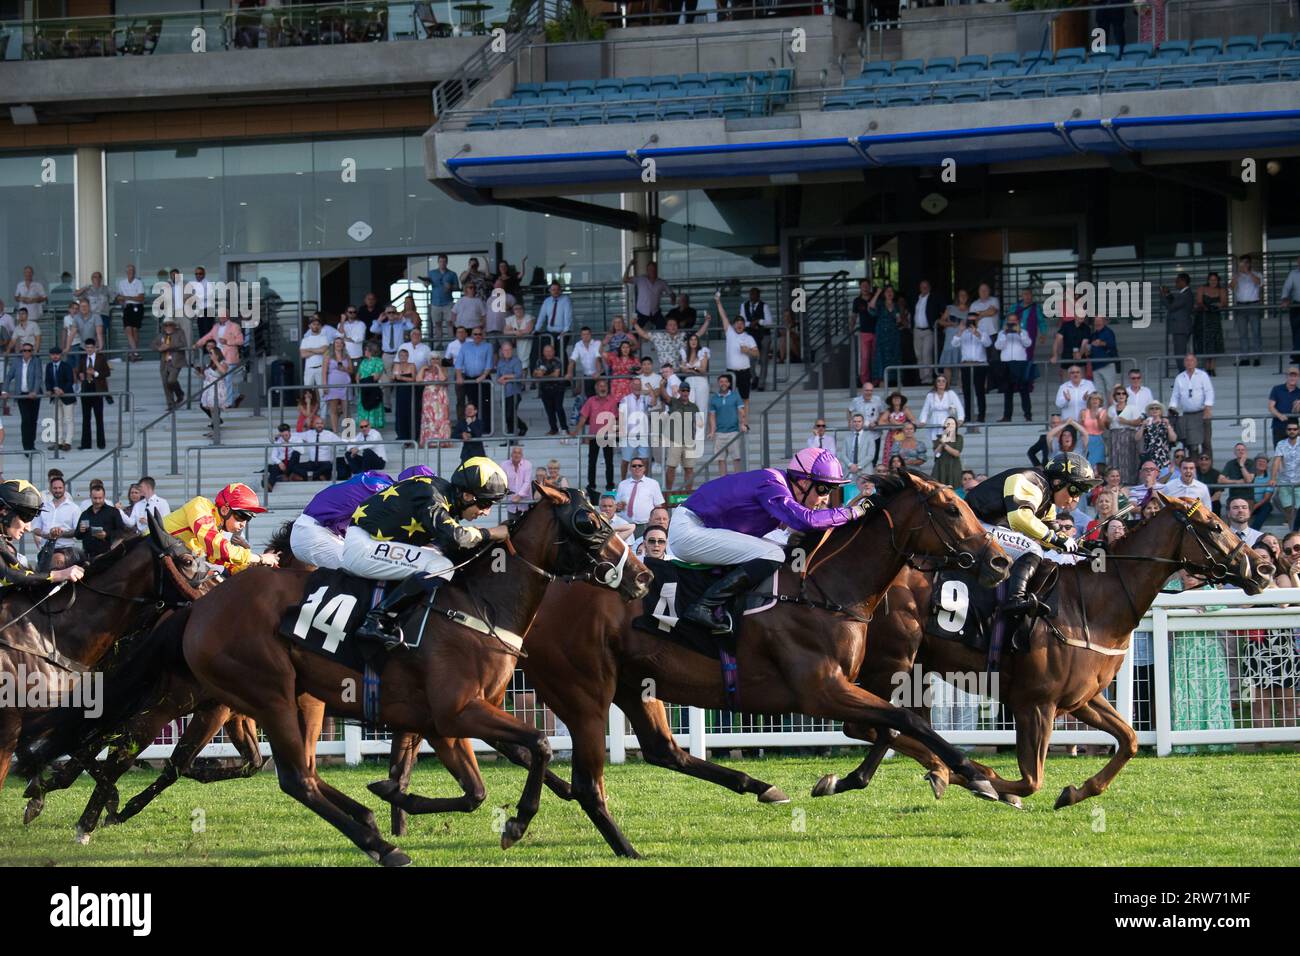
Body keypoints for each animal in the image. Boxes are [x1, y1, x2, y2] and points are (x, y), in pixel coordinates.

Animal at [54, 486, 650, 868]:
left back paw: (366, 821)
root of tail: (200, 603)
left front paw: (394, 794)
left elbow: (478, 789)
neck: (479, 601)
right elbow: (540, 747)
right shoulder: (459, 709)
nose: (643, 576)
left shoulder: (444, 722)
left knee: (293, 772)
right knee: (290, 778)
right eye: (590, 522)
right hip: (262, 692)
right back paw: (384, 846)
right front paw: (519, 822)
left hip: (288, 699)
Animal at [371, 473, 1008, 858]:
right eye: (951, 509)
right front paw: (979, 776)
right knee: (587, 776)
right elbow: (909, 722)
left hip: (635, 684)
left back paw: (760, 786)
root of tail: (540, 592)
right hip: (585, 691)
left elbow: (893, 727)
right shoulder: (822, 690)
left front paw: (969, 777)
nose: (1001, 561)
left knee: (662, 751)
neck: (825, 588)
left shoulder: (845, 691)